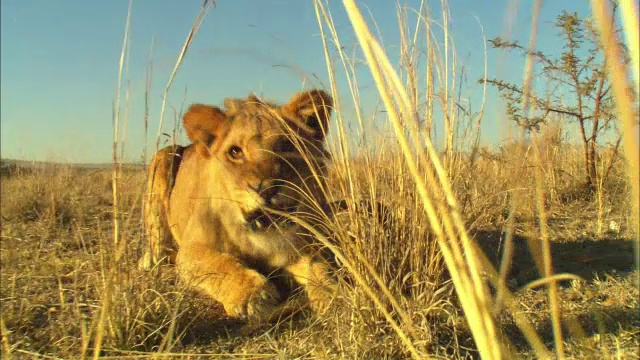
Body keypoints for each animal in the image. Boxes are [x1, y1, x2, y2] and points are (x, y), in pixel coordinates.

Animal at [141, 89, 340, 320]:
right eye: (235, 152)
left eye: (286, 147)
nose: (265, 189)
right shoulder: (192, 249)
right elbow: (219, 264)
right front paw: (253, 295)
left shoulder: (300, 245)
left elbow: (318, 266)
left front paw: (331, 291)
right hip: (163, 158)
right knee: (160, 250)